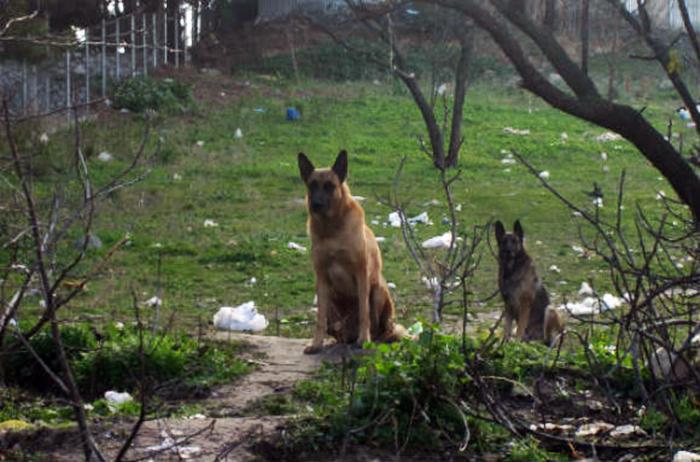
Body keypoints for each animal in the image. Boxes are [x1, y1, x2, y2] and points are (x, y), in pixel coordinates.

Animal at [296, 151, 404, 354]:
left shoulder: (361, 274)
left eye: (329, 186)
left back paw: (371, 339)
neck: (332, 230)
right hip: (330, 302)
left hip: (378, 290)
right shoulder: (321, 278)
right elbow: (319, 319)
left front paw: (364, 340)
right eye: (312, 185)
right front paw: (316, 343)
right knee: (337, 330)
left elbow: (364, 312)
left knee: (382, 329)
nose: (316, 204)